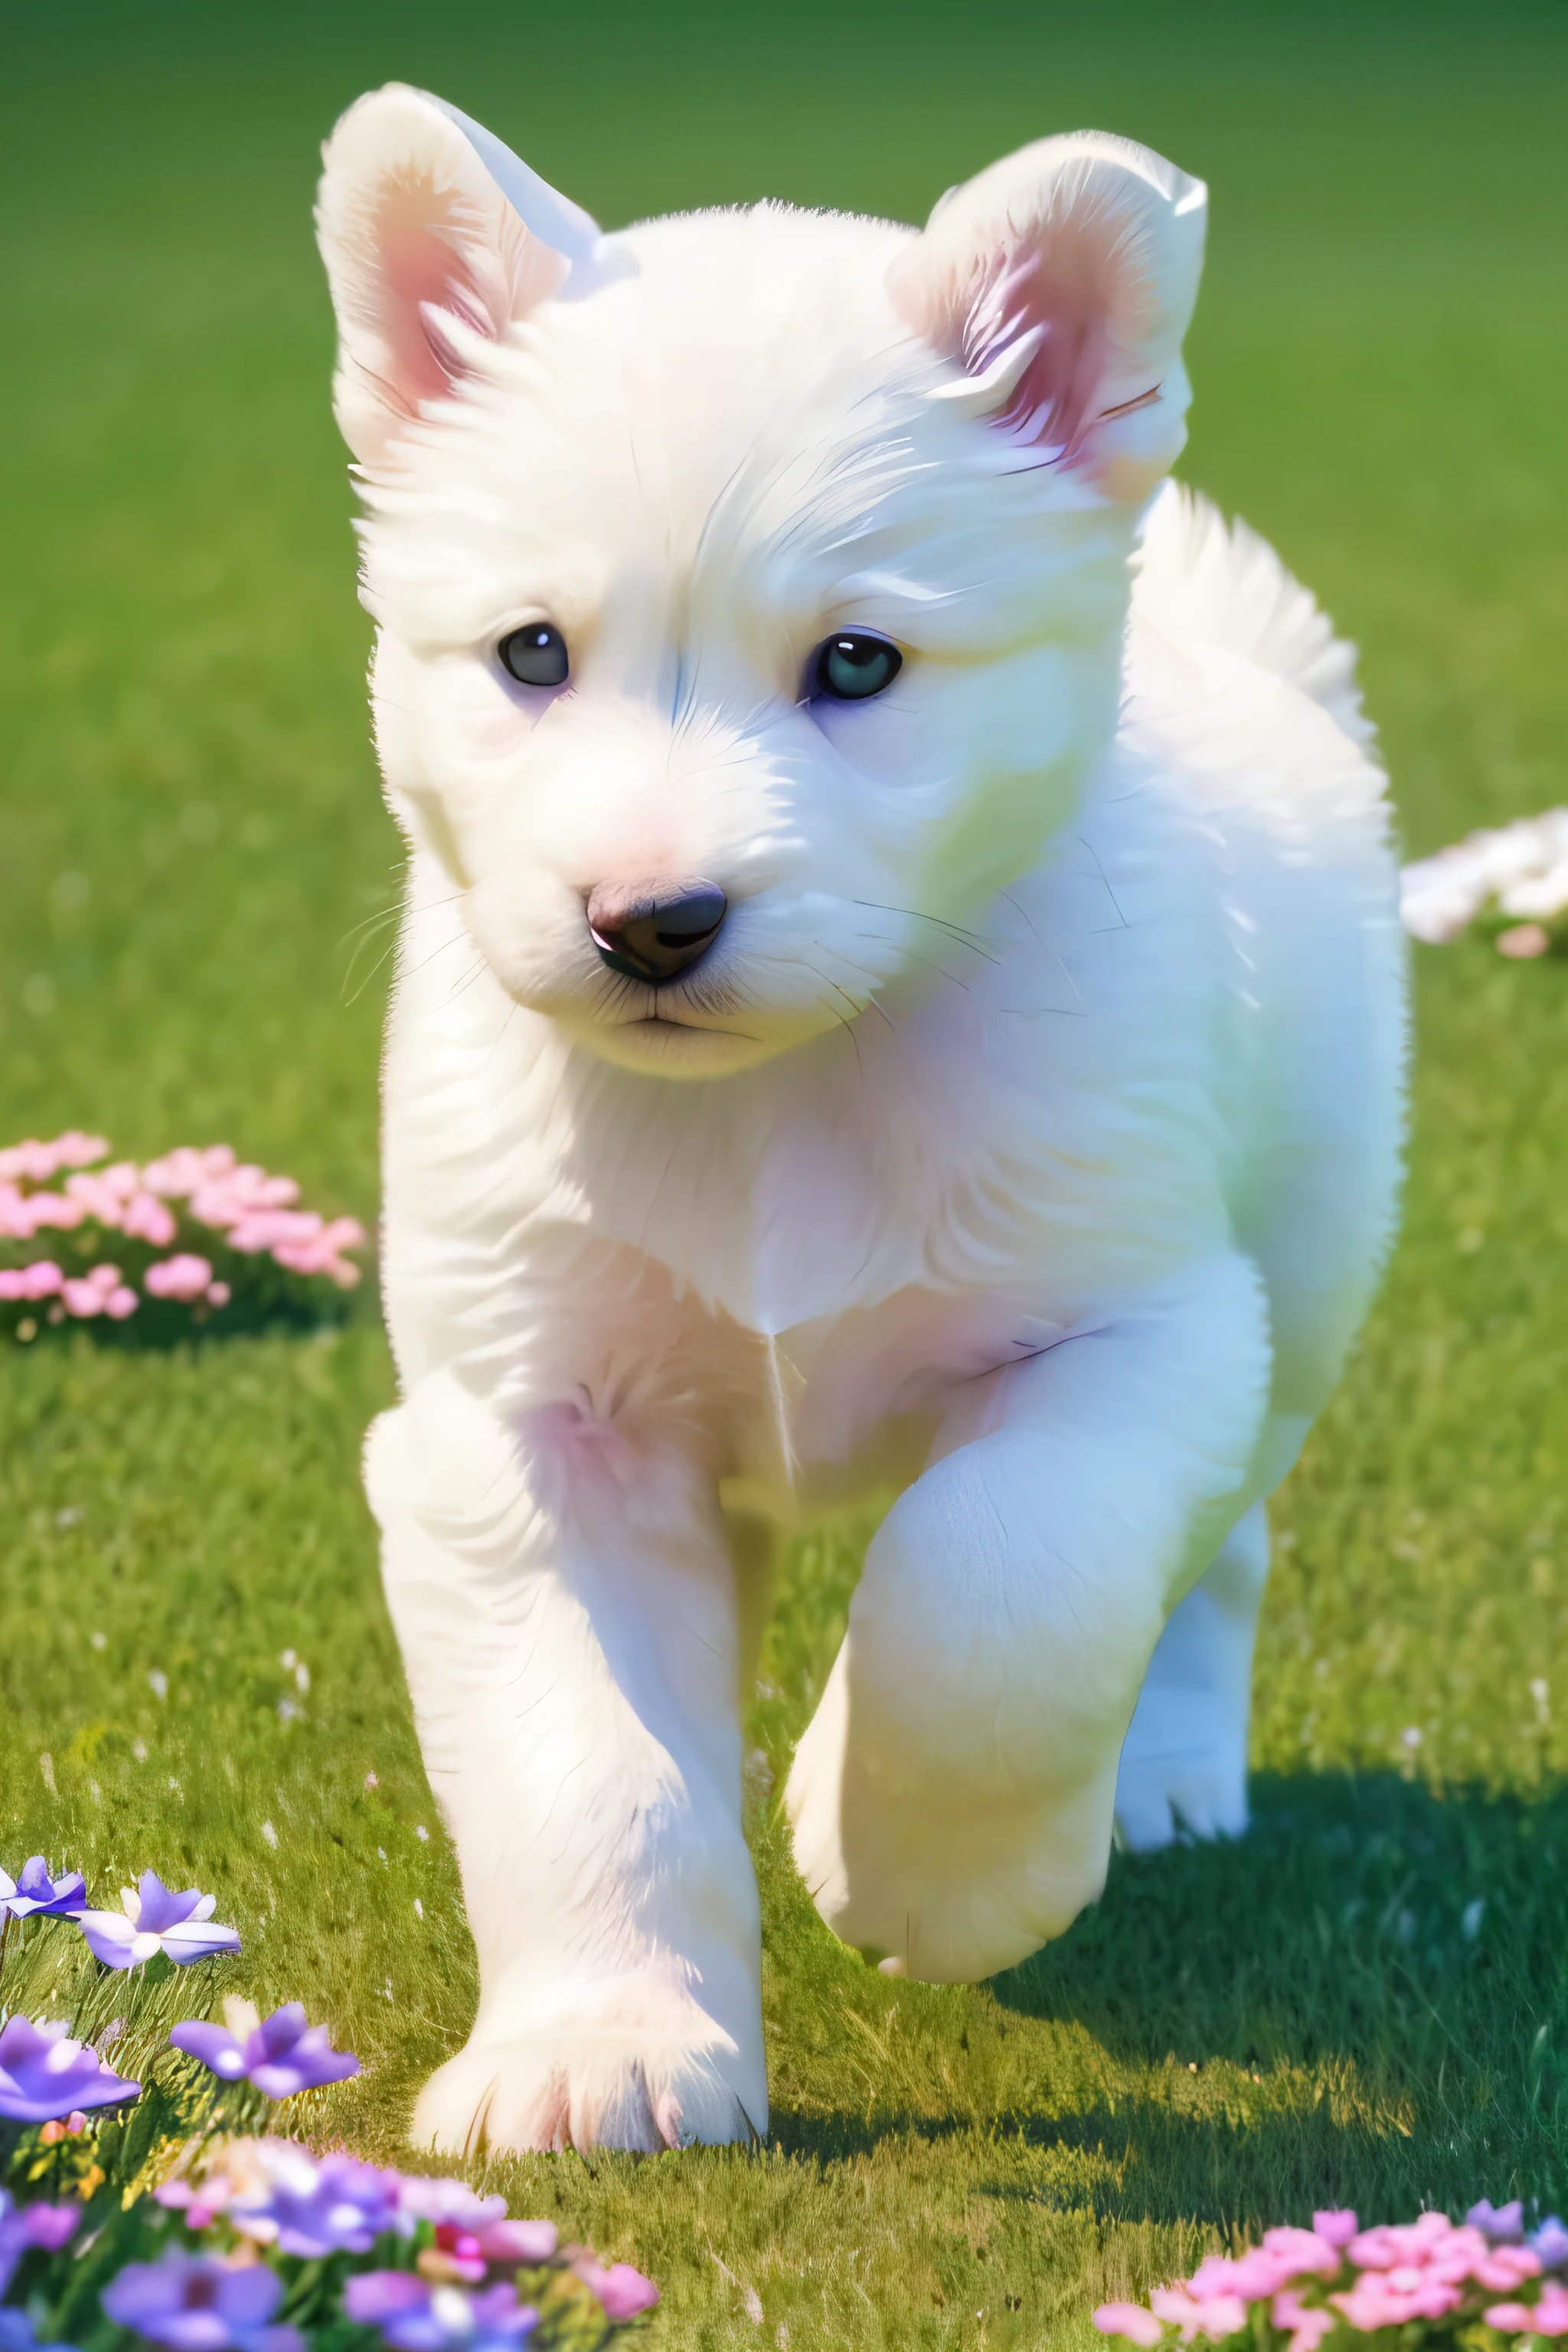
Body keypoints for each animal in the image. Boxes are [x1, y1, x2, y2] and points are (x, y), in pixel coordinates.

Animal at [319, 87, 1410, 2154]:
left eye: (854, 663)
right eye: (528, 653)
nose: (650, 919)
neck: (777, 1107)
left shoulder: (1141, 1331)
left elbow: (993, 1587)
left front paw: (900, 1851)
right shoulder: (519, 1422)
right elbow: (582, 1761)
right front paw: (602, 2042)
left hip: (1299, 1289)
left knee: (1212, 1556)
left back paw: (1157, 1776)